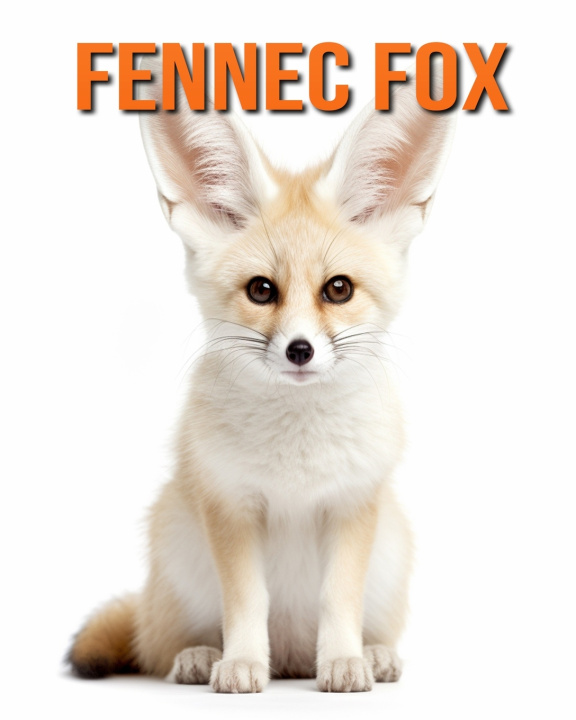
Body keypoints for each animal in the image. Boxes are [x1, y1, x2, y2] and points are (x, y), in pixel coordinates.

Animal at [67, 56, 455, 693]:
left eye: (338, 289)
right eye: (261, 291)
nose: (300, 350)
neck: (296, 456)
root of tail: (293, 657)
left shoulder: (352, 505)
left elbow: (338, 602)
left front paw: (344, 661)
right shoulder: (230, 505)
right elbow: (247, 603)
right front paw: (243, 663)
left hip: (392, 551)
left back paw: (372, 654)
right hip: (175, 543)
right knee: (158, 646)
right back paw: (201, 657)